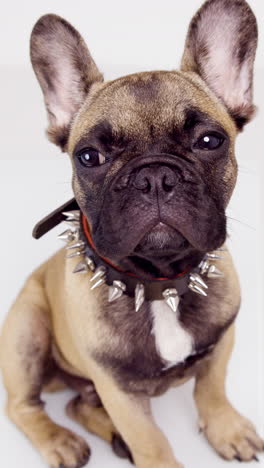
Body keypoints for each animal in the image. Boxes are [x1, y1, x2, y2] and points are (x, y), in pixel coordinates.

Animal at [1, 0, 262, 468]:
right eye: (89, 156)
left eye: (209, 141)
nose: (154, 177)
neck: (159, 283)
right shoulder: (118, 390)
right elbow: (151, 442)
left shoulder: (222, 341)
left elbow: (212, 388)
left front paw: (226, 429)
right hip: (26, 330)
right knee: (24, 405)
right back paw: (60, 441)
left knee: (77, 404)